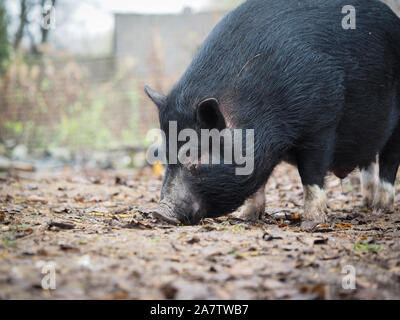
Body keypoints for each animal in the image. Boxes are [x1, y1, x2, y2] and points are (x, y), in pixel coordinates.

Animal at [145, 0, 400, 225]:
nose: (160, 212)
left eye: (196, 157)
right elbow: (258, 179)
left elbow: (311, 175)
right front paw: (246, 217)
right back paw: (366, 204)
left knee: (389, 161)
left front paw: (312, 221)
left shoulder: (323, 122)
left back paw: (380, 208)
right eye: (165, 154)